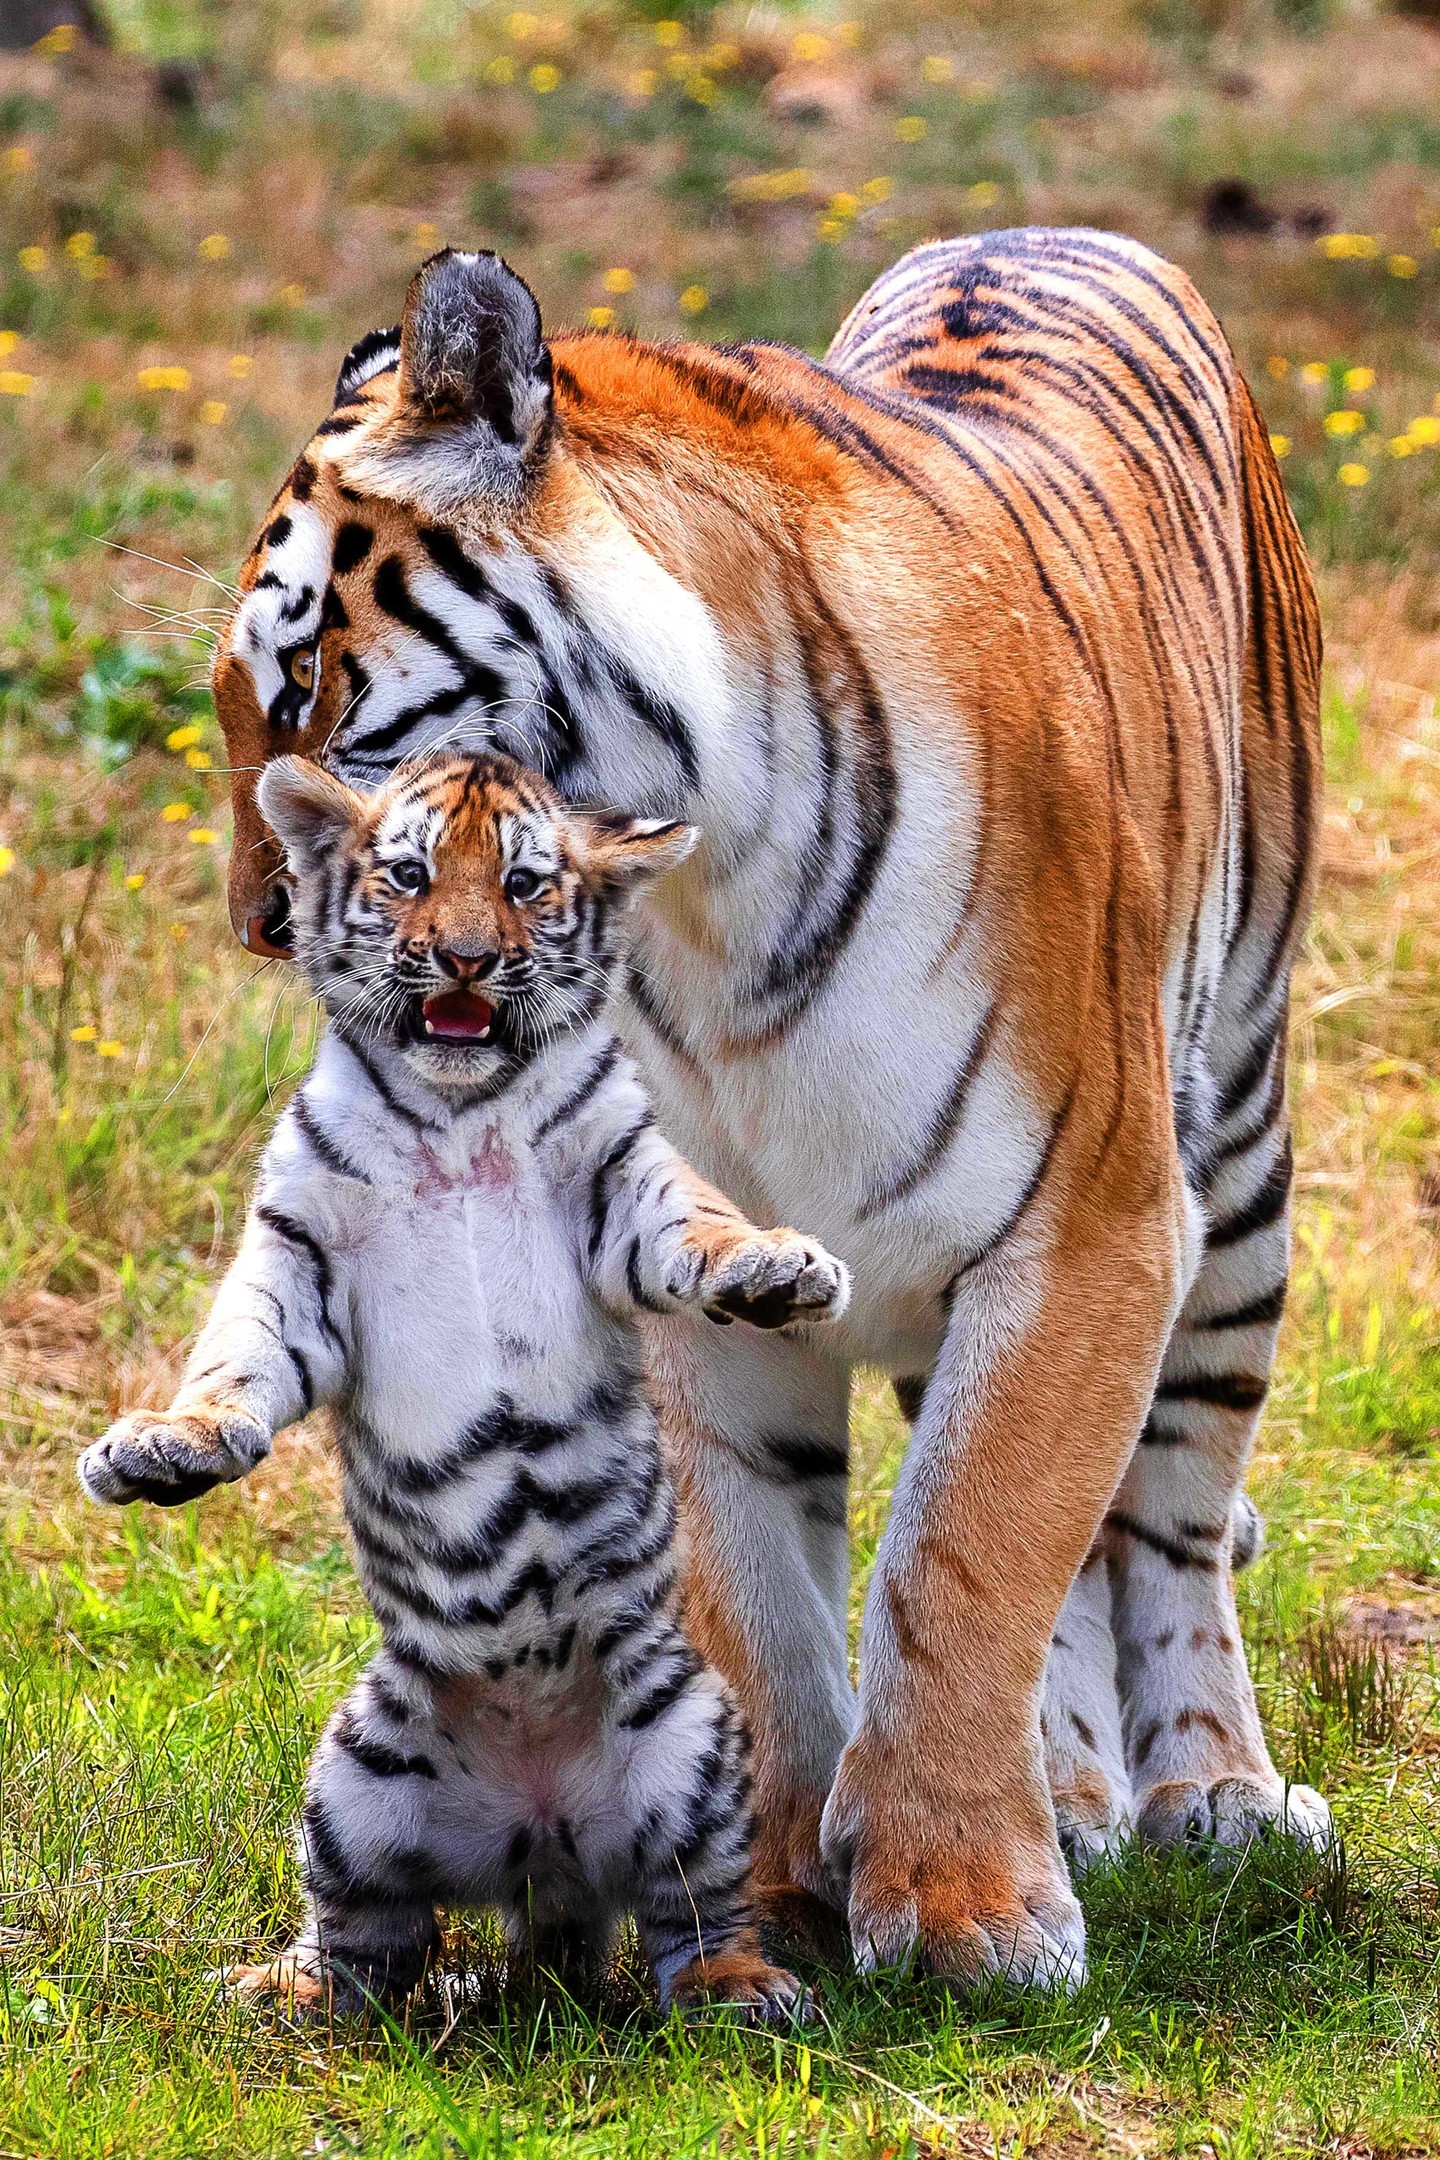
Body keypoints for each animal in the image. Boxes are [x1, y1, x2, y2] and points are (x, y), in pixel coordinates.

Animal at [211, 232, 1329, 1987]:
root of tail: (1055, 230)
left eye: (314, 685)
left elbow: (967, 1551)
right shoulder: (683, 1267)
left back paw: (1208, 1791)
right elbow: (766, 1600)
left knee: (1174, 1511)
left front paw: (959, 1905)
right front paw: (790, 1881)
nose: (265, 924)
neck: (715, 894)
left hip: (1235, 1172)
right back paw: (1073, 1792)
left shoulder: (1091, 1228)